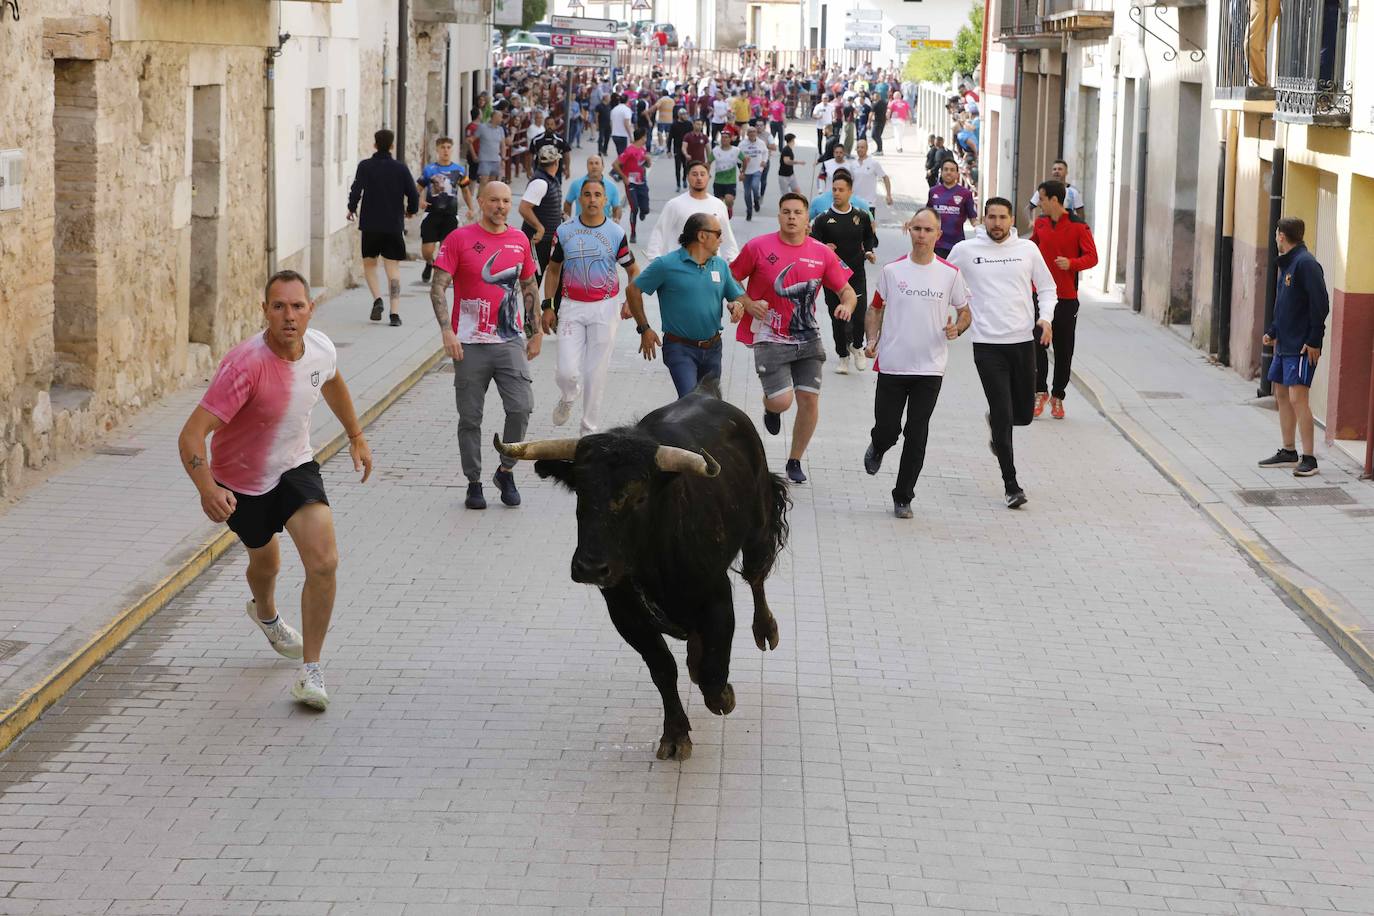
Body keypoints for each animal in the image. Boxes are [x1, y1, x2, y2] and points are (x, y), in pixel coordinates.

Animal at [500, 387, 791, 758]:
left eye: (639, 496)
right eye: (581, 492)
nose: (591, 567)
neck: (654, 561)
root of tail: (707, 392)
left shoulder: (716, 597)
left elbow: (714, 669)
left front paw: (723, 696)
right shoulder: (625, 613)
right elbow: (663, 669)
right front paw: (676, 733)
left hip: (758, 526)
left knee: (756, 575)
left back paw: (765, 629)